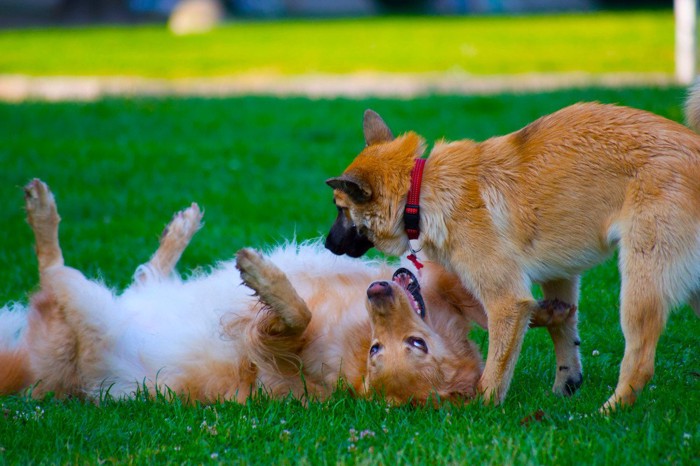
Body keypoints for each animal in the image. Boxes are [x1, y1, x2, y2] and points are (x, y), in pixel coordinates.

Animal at [326, 88, 700, 412]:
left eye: (341, 208)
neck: (418, 192)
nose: (327, 245)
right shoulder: (559, 276)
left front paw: (483, 408)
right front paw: (565, 386)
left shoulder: (506, 300)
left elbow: (495, 367)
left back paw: (608, 411)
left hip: (640, 285)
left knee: (641, 361)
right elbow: (563, 332)